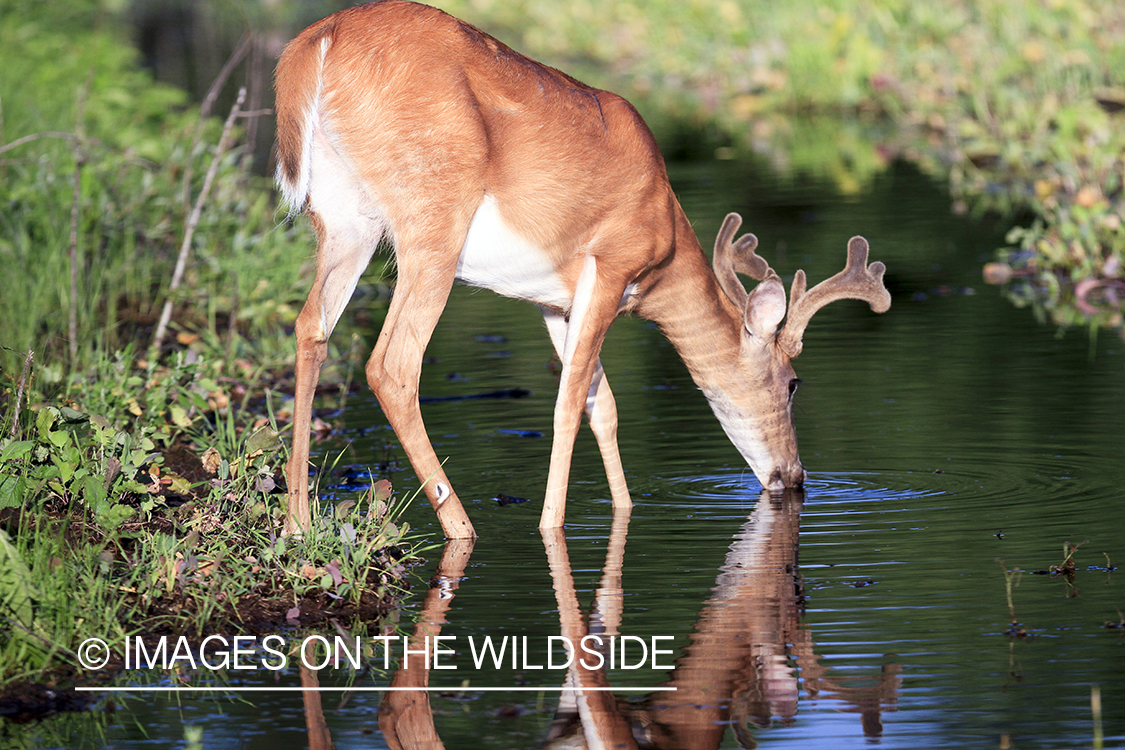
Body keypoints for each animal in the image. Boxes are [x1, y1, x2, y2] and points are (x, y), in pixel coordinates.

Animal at [272, 0, 886, 539]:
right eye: (792, 382)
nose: (795, 478)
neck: (665, 241)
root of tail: (318, 43)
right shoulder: (613, 264)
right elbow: (569, 404)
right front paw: (552, 526)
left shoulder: (555, 299)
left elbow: (602, 406)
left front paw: (625, 508)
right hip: (432, 218)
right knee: (392, 365)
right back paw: (461, 527)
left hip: (344, 220)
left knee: (310, 328)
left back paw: (298, 523)